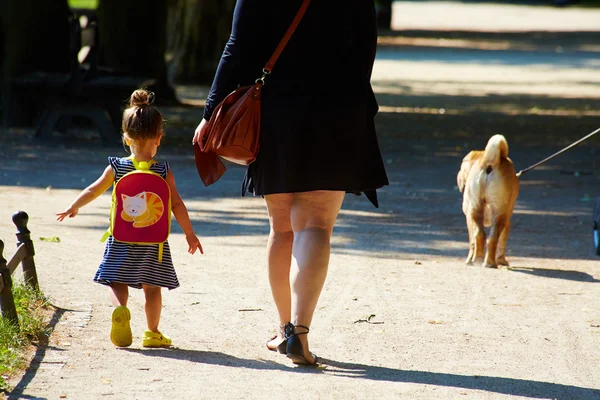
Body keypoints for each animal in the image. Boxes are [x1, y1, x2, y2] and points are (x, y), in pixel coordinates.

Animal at [458, 134, 516, 268]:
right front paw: (502, 261)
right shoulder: (507, 221)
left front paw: (469, 260)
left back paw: (479, 260)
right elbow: (501, 242)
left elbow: (472, 242)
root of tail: (489, 161)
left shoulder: (468, 218)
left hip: (477, 210)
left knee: (481, 235)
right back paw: (488, 262)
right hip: (498, 213)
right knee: (491, 238)